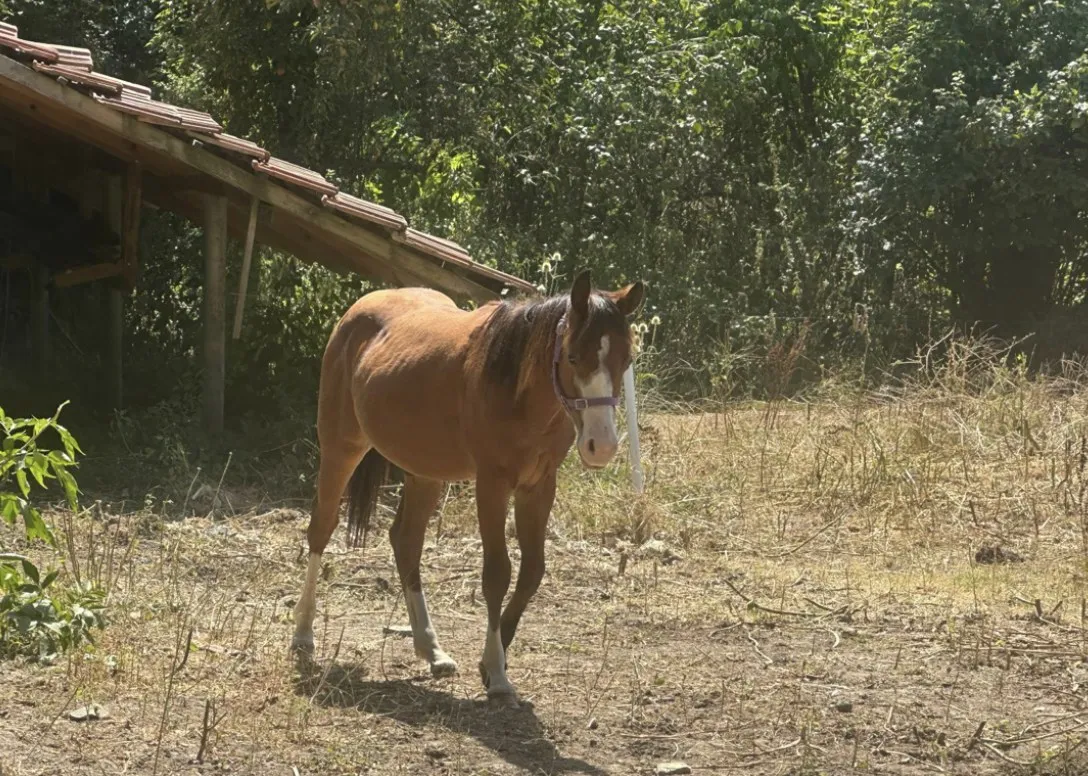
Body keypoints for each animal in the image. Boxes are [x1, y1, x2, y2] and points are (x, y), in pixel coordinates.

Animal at [290, 269, 645, 706]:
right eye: (574, 357)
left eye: (626, 360)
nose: (603, 446)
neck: (515, 385)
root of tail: (358, 311)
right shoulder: (492, 483)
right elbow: (498, 573)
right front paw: (497, 672)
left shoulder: (539, 486)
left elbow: (532, 571)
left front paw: (492, 661)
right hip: (341, 449)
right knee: (321, 530)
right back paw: (303, 634)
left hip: (425, 472)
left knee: (406, 542)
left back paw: (432, 650)